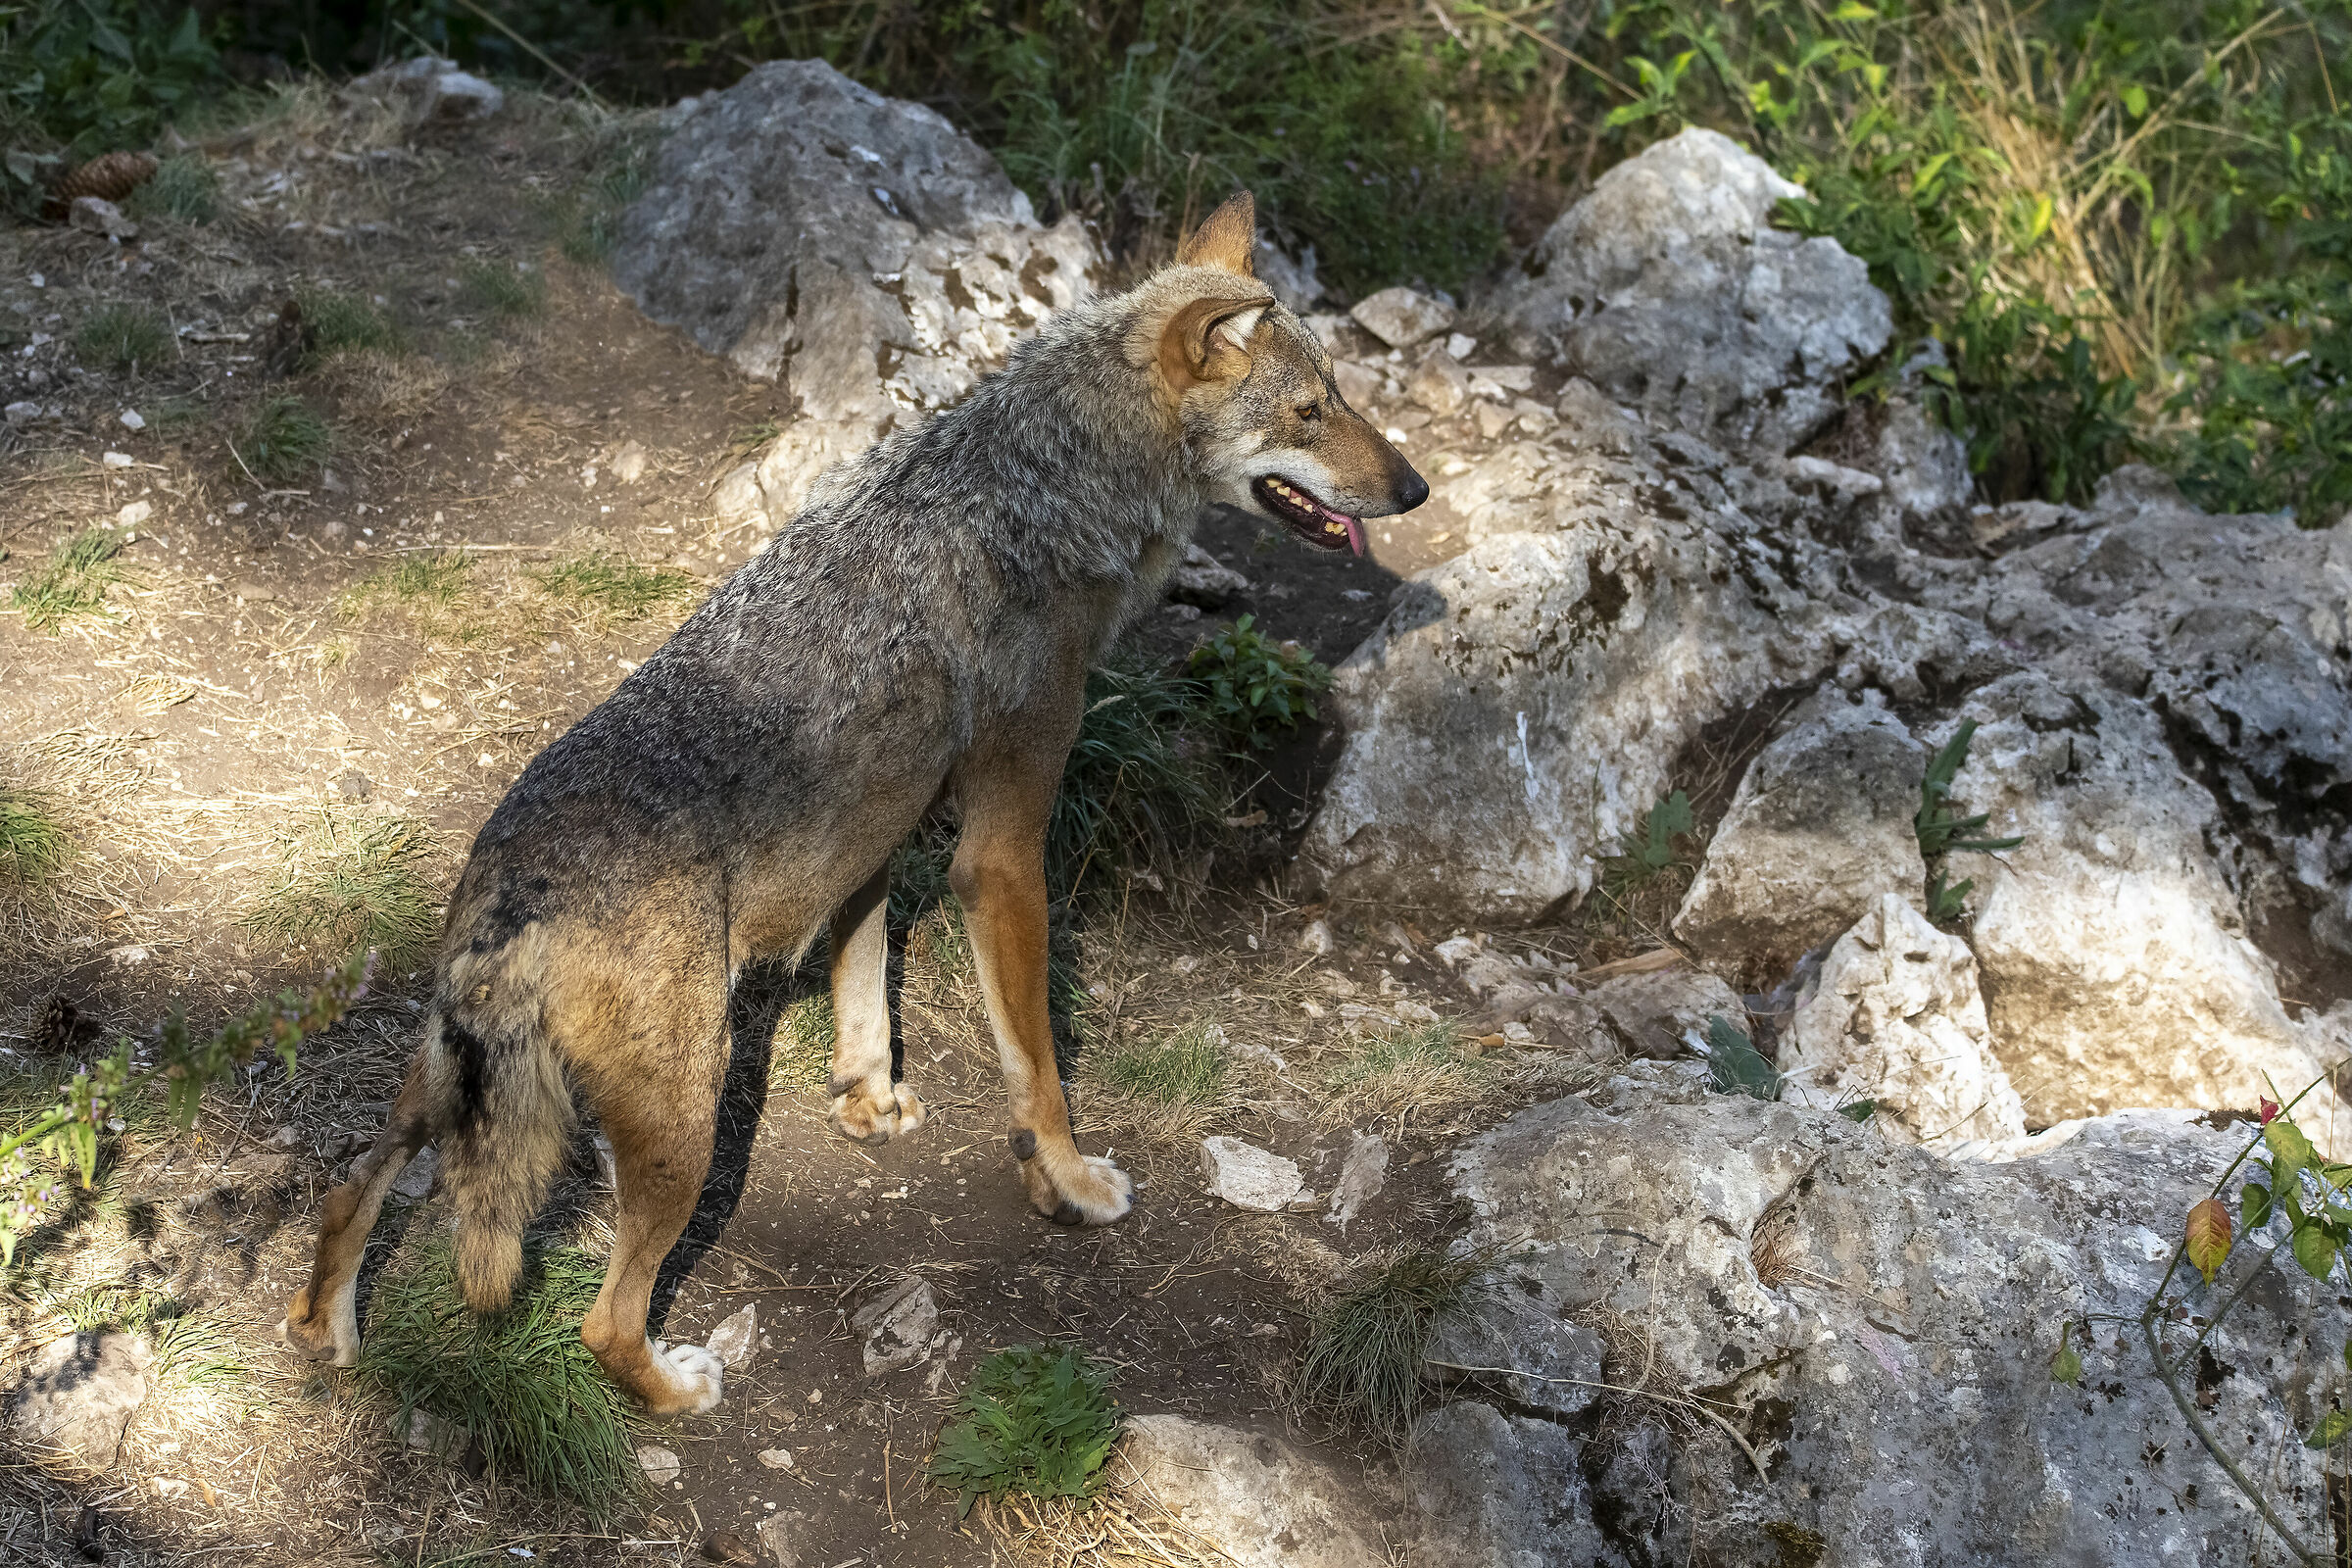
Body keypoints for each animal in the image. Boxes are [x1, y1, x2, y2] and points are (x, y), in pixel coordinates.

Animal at [279, 191, 1427, 1416]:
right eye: (1311, 410)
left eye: (1341, 395)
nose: (1414, 491)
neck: (1042, 488)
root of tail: (518, 886)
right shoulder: (1000, 850)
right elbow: (1039, 1072)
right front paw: (1070, 1184)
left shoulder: (875, 832)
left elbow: (865, 979)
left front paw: (870, 1102)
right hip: (686, 1126)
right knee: (601, 1321)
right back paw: (679, 1388)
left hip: (439, 1089)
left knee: (347, 1189)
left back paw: (329, 1337)